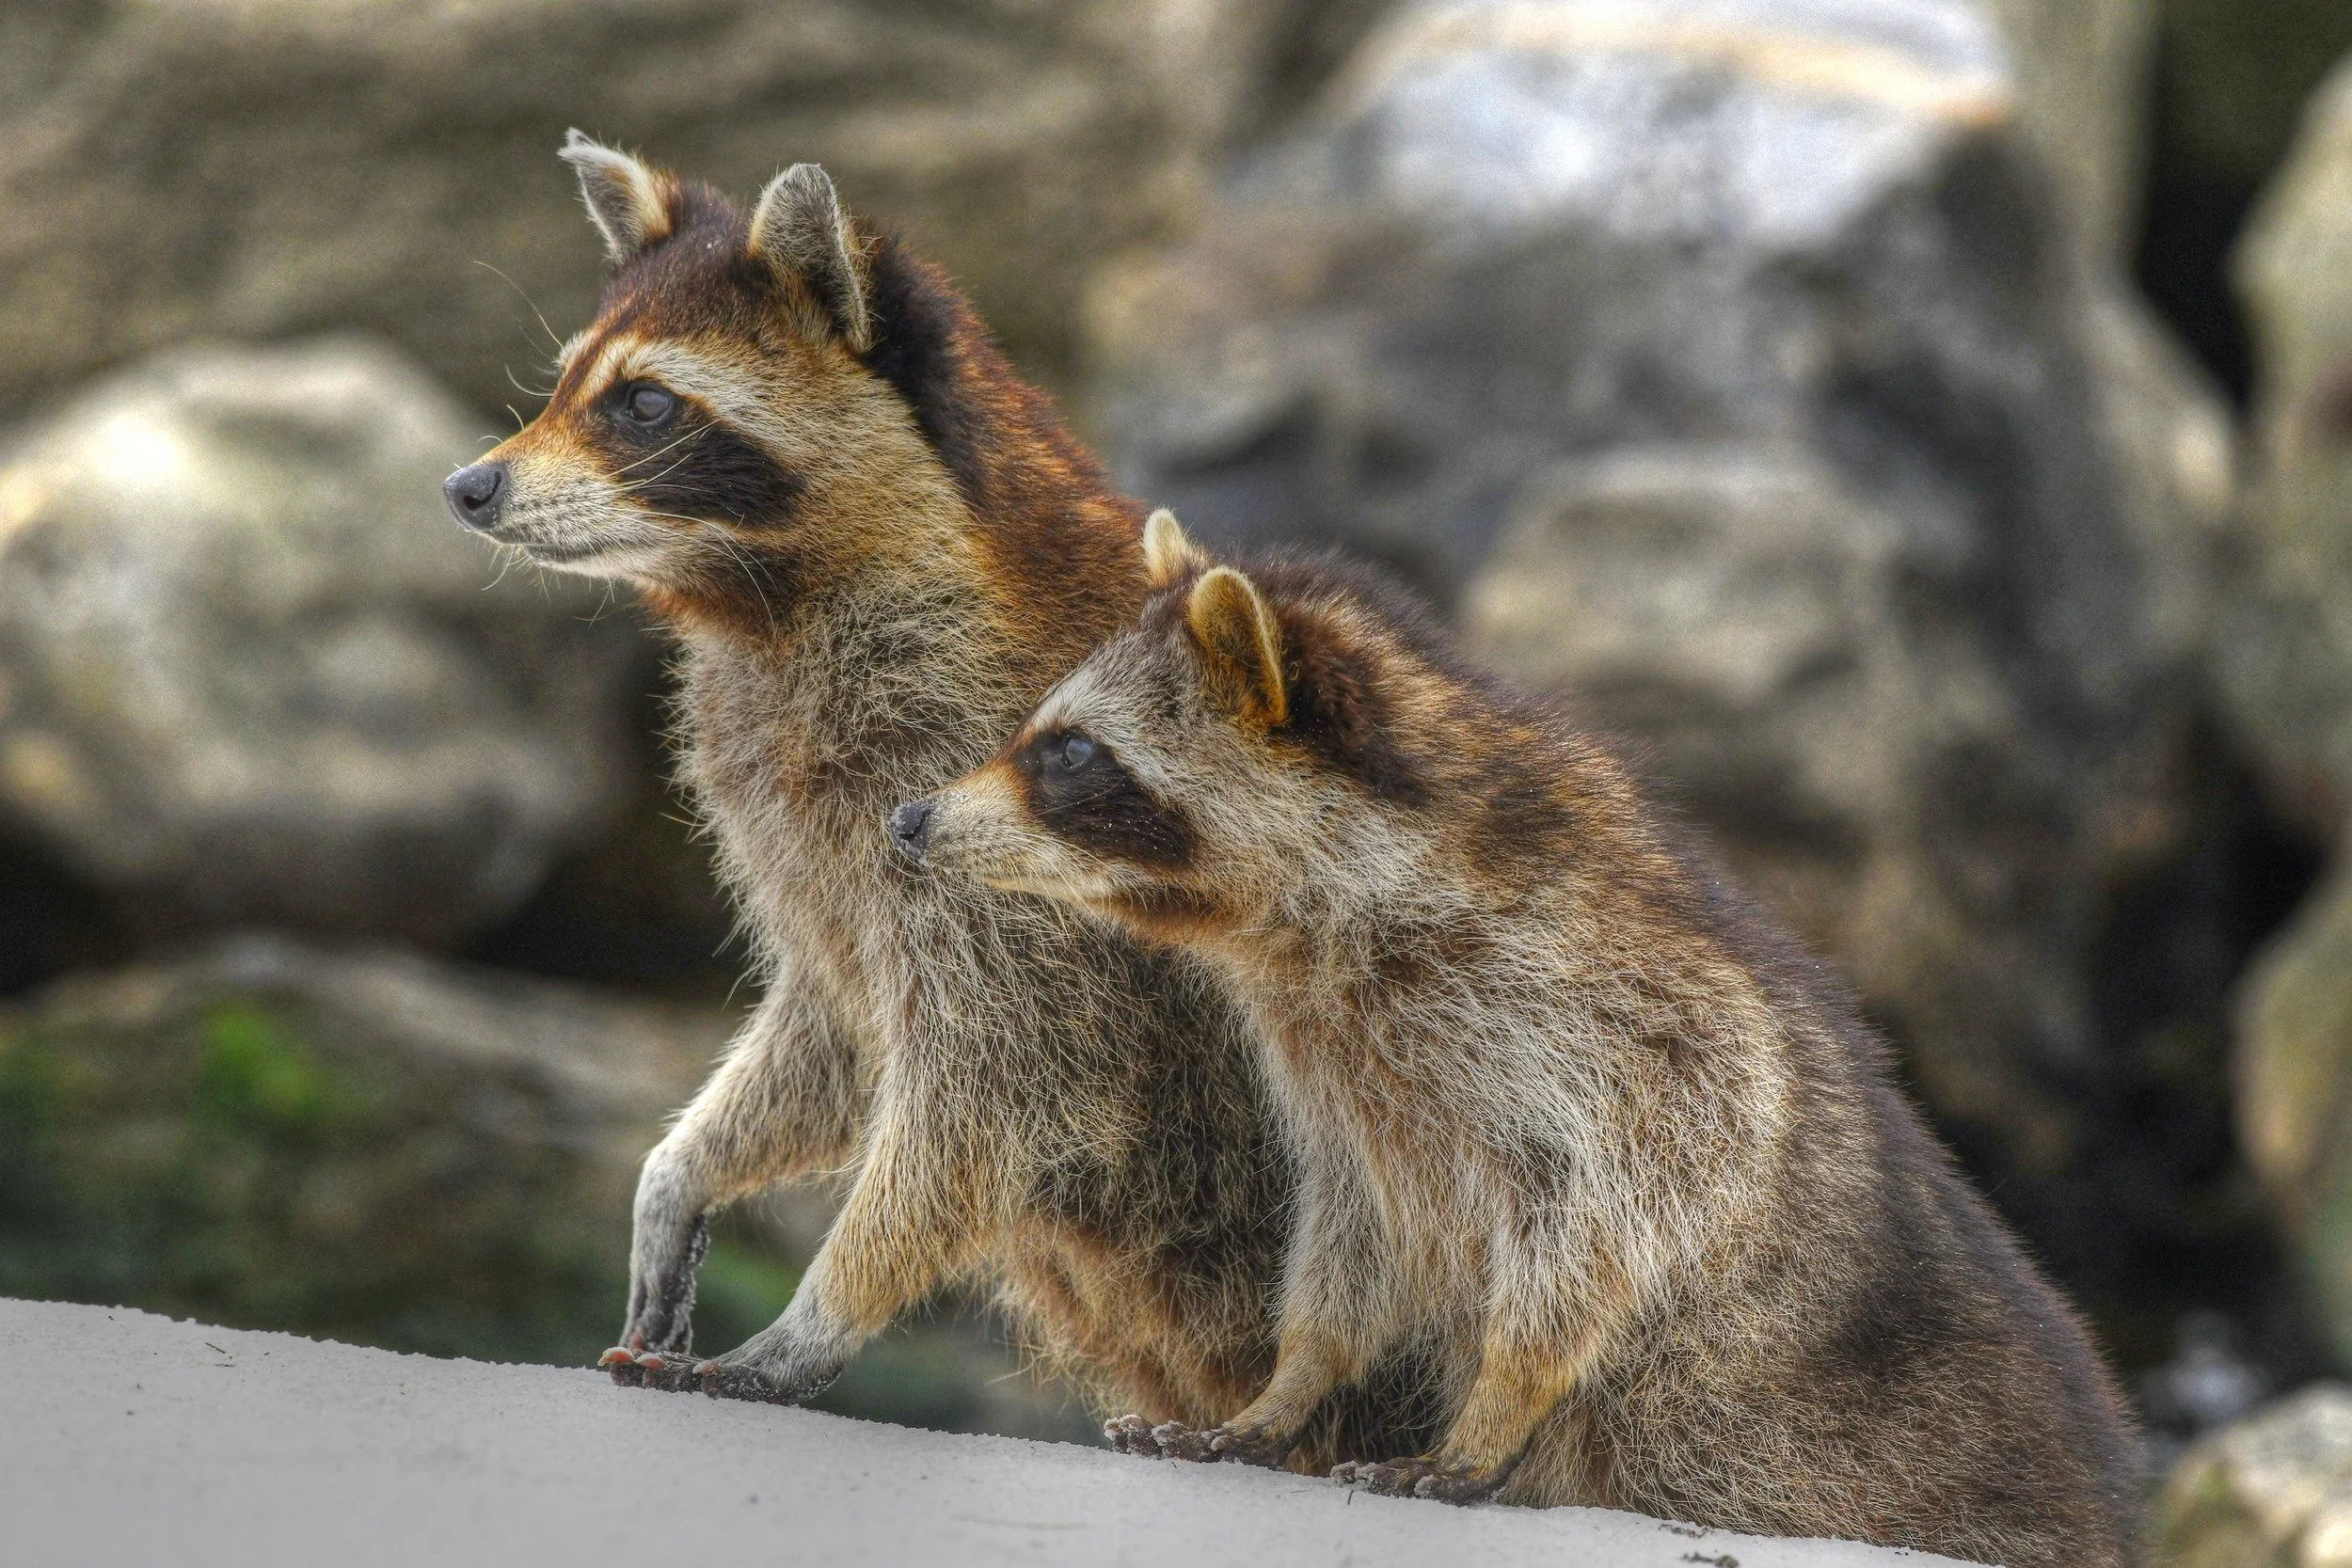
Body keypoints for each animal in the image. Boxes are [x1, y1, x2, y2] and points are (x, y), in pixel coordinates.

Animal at [439, 136, 1436, 1463]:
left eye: (644, 404)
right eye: (562, 388)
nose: (467, 487)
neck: (771, 604)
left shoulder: (995, 815)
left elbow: (998, 1084)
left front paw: (821, 1307)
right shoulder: (807, 830)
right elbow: (833, 1034)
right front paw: (681, 1170)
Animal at [898, 513, 2141, 1568]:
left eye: (1071, 754)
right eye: (1043, 734)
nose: (908, 818)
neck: (1306, 931)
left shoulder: (1622, 1020)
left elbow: (1614, 1218)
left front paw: (1502, 1392)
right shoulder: (1350, 1082)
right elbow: (1352, 1231)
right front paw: (1290, 1381)